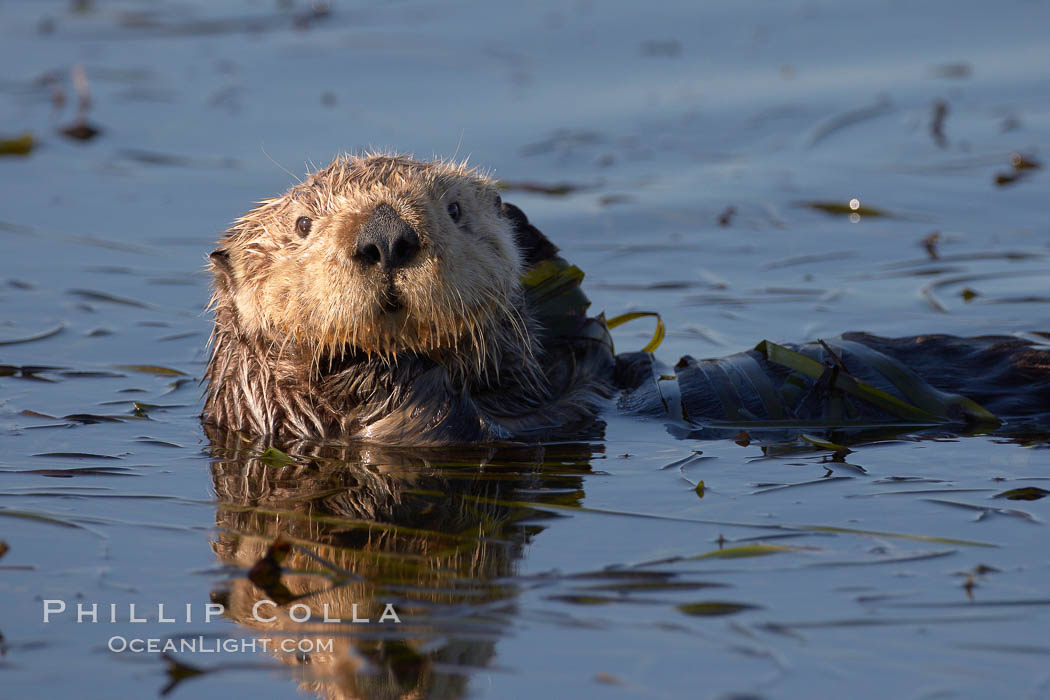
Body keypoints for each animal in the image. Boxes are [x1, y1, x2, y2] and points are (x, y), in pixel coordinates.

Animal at [204, 156, 1050, 447]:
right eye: (303, 226)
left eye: (453, 210)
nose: (384, 236)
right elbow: (421, 420)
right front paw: (348, 361)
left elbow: (595, 351)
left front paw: (536, 242)